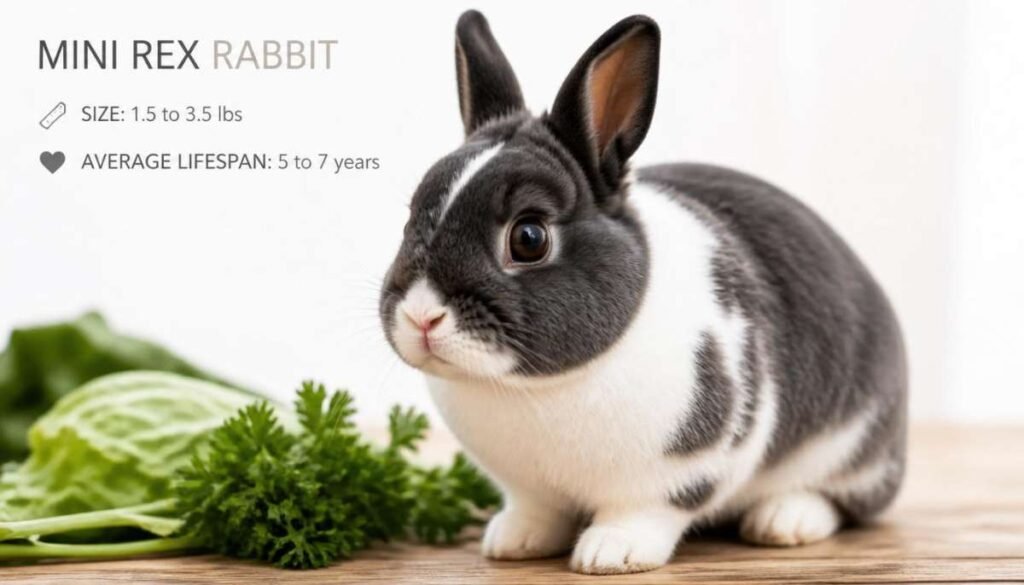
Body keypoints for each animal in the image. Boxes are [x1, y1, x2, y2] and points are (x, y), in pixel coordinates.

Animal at [379, 10, 907, 575]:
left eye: (529, 238)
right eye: (412, 215)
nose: (421, 317)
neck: (535, 388)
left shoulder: (683, 470)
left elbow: (647, 512)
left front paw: (611, 553)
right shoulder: (528, 488)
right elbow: (536, 510)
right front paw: (512, 542)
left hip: (852, 449)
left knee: (845, 500)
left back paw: (784, 522)